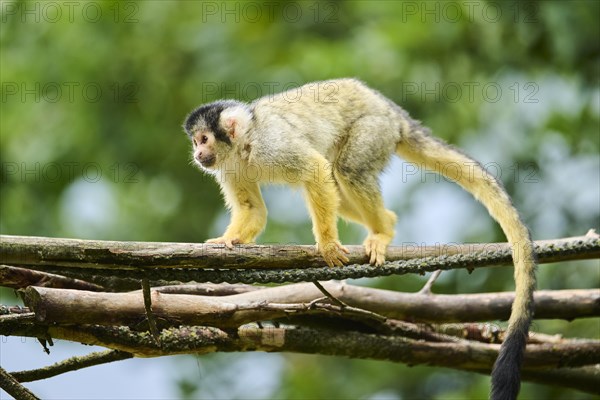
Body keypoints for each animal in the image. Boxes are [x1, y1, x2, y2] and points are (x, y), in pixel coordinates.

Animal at [182, 79, 536, 400]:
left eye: (204, 139)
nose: (198, 153)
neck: (245, 143)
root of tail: (391, 109)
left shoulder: (273, 145)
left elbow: (314, 170)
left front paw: (326, 245)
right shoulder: (229, 167)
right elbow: (253, 210)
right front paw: (228, 242)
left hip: (374, 129)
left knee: (346, 169)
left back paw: (383, 231)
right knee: (338, 180)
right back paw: (387, 222)